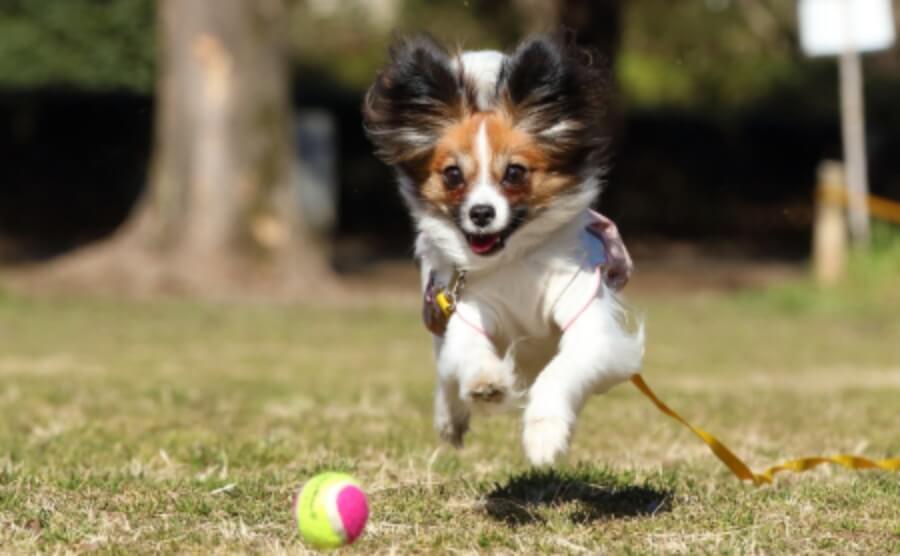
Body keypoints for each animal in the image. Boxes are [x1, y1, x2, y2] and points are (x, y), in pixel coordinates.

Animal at [362, 31, 644, 464]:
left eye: (514, 173)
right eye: (453, 175)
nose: (480, 213)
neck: (514, 259)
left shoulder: (591, 326)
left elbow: (560, 371)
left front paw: (544, 433)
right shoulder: (468, 312)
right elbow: (468, 355)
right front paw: (486, 382)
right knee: (445, 371)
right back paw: (451, 416)